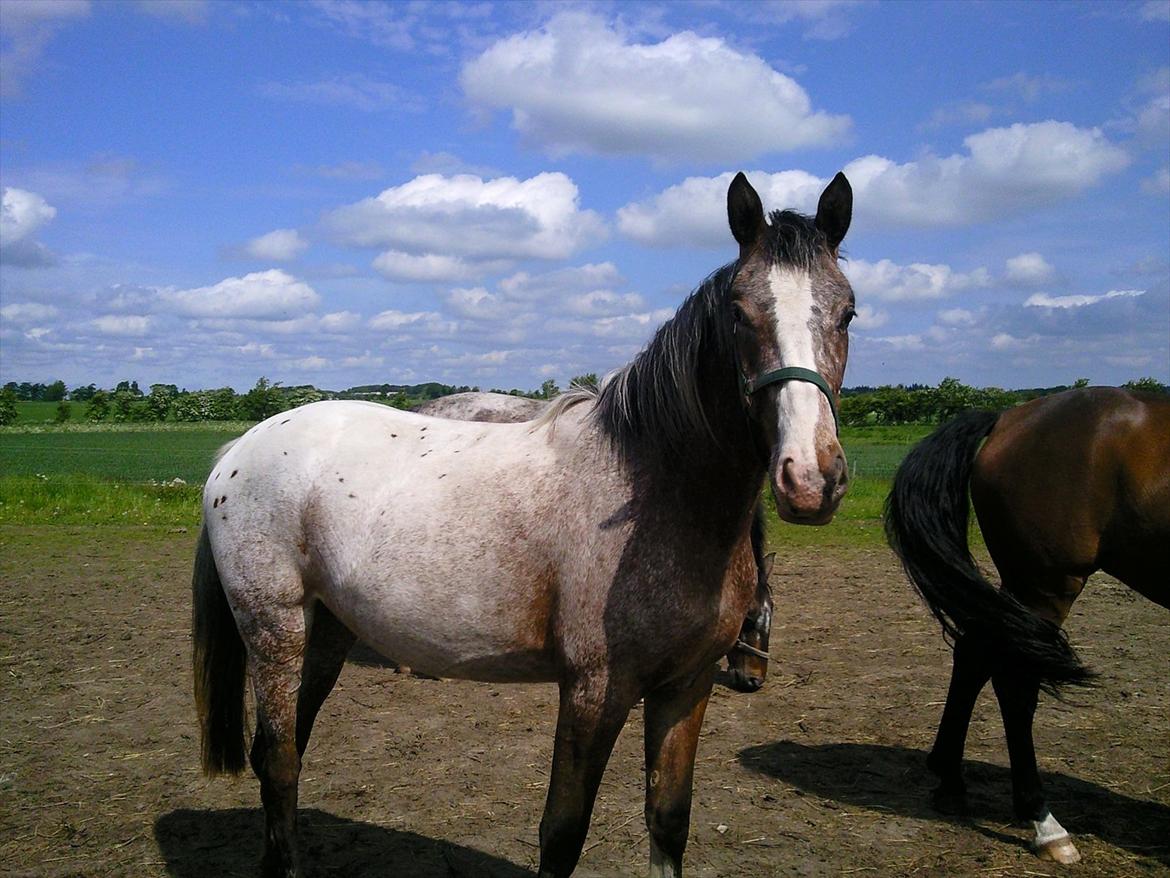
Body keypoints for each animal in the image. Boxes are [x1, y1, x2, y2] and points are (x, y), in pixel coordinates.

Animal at [884, 386, 1170, 866]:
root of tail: (1009, 417)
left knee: (974, 653)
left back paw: (951, 782)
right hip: (1044, 584)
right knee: (1014, 683)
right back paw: (1045, 823)